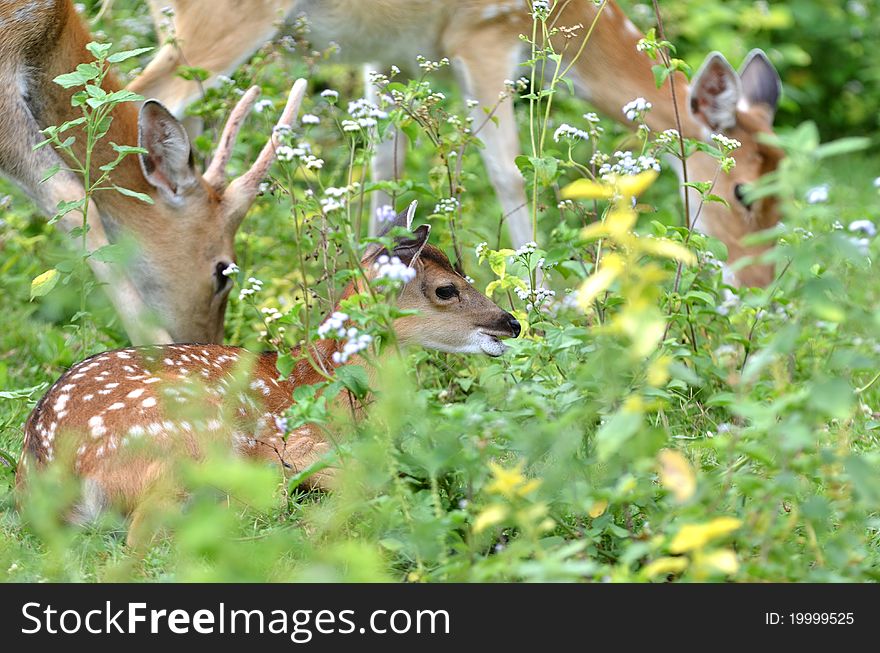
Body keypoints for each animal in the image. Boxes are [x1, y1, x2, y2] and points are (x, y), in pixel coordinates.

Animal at [131, 0, 784, 286]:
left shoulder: (392, 56)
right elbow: (511, 175)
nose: (758, 286)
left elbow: (387, 166)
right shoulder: (485, 32)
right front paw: (543, 303)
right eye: (743, 192)